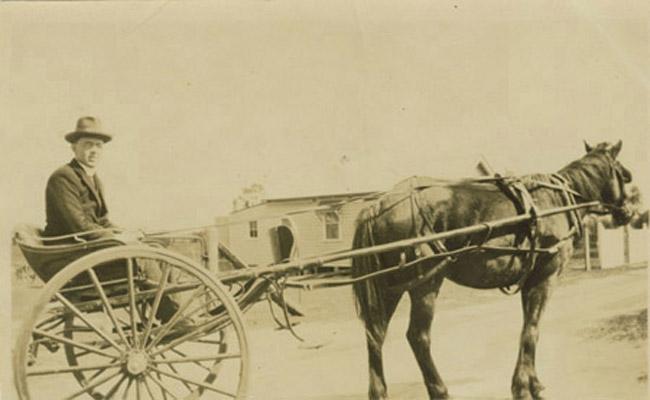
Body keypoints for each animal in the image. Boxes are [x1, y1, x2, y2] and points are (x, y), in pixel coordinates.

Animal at [350, 140, 632, 396]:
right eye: (623, 174)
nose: (628, 212)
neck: (557, 202)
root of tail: (379, 205)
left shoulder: (528, 281)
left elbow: (527, 327)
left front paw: (530, 383)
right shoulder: (545, 277)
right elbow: (532, 329)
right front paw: (524, 387)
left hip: (390, 287)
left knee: (375, 334)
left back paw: (379, 391)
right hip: (425, 283)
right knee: (418, 336)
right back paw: (440, 390)